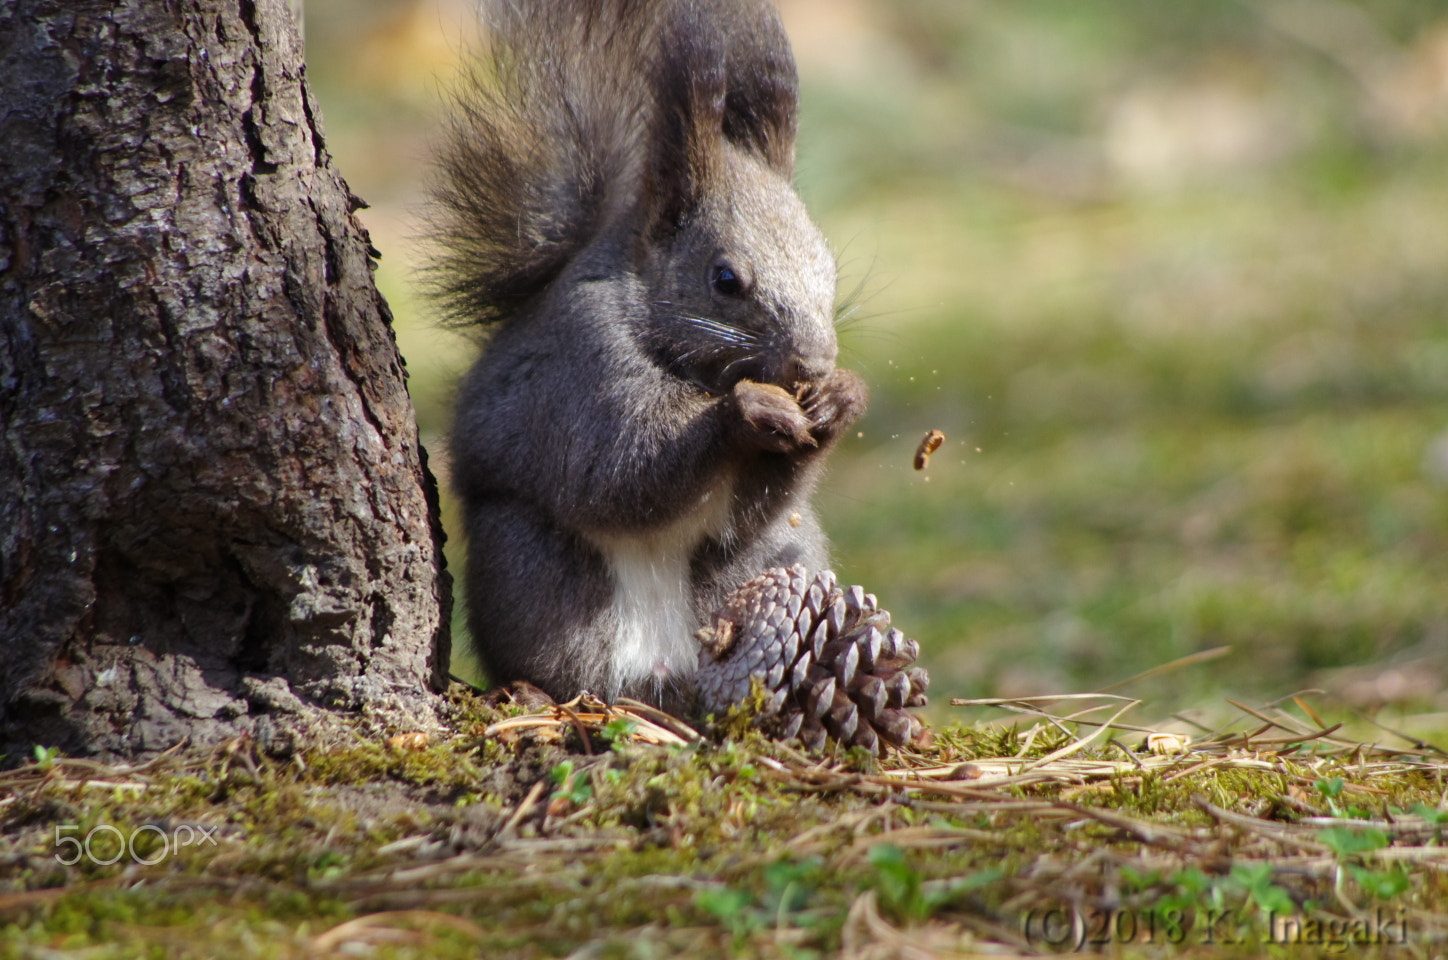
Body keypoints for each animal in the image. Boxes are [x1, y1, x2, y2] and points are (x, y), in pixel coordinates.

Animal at [434, 0, 863, 712]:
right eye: (725, 280)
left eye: (829, 268)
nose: (813, 365)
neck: (691, 370)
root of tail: (662, 676)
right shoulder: (583, 370)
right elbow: (620, 470)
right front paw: (746, 410)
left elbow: (748, 507)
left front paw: (841, 400)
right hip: (532, 572)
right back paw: (539, 694)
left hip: (766, 562)